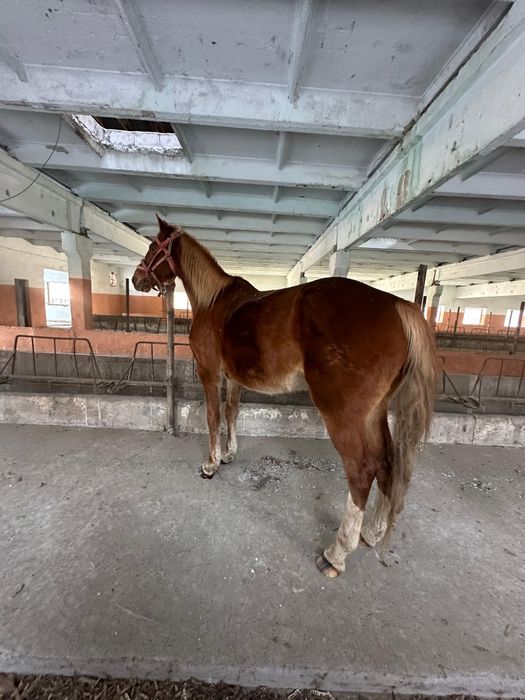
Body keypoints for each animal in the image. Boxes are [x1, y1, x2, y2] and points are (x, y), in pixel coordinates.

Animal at [132, 216, 437, 578]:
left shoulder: (210, 373)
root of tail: (398, 306)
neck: (213, 302)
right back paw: (372, 532)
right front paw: (229, 454)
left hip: (344, 415)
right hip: (374, 412)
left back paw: (336, 554)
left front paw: (211, 464)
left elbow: (213, 417)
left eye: (153, 246)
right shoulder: (234, 379)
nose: (136, 279)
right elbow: (232, 413)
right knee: (388, 462)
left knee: (363, 469)